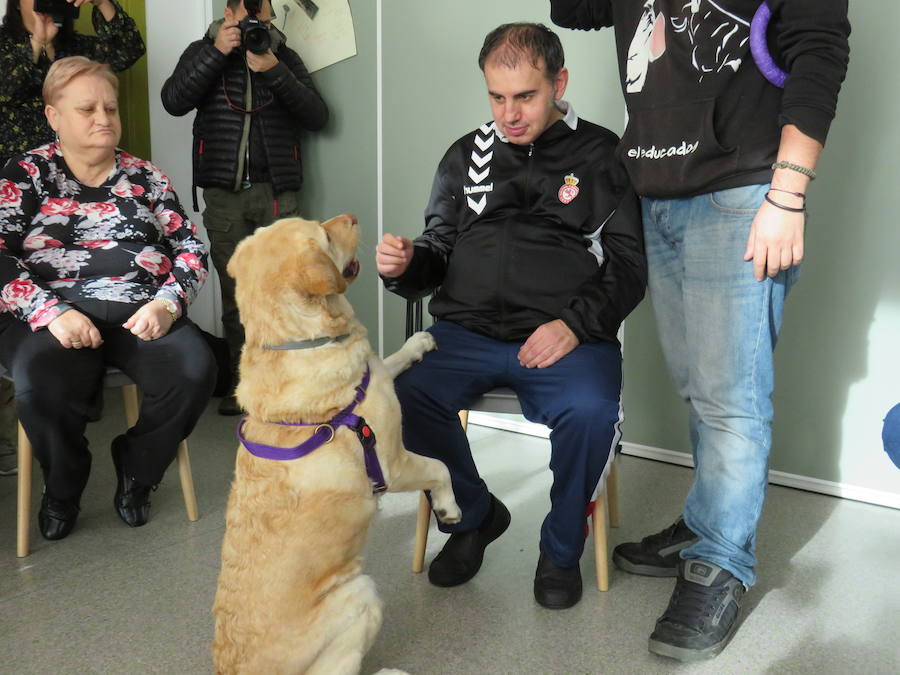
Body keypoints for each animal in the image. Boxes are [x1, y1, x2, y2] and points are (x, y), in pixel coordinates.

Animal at [214, 214, 460, 672]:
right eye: (326, 236)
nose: (353, 217)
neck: (297, 340)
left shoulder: (375, 372)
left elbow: (390, 359)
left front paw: (417, 342)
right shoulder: (392, 462)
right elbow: (441, 466)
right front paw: (448, 508)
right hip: (360, 595)